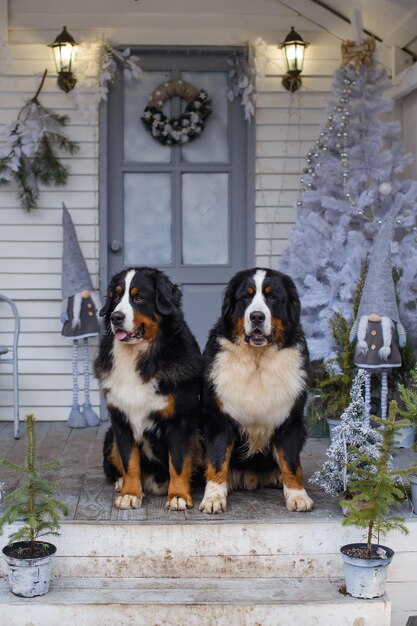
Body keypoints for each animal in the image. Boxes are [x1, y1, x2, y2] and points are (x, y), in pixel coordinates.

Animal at [96, 266, 203, 510]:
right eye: (115, 297)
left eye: (138, 298)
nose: (116, 317)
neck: (138, 356)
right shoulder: (121, 420)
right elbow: (129, 461)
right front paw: (129, 493)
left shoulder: (178, 421)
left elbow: (178, 462)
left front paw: (178, 496)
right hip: (110, 437)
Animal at [198, 266, 312, 516]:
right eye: (246, 297)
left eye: (272, 297)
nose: (257, 316)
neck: (257, 361)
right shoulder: (219, 419)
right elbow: (217, 460)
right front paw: (213, 497)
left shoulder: (290, 420)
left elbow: (291, 462)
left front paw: (297, 495)